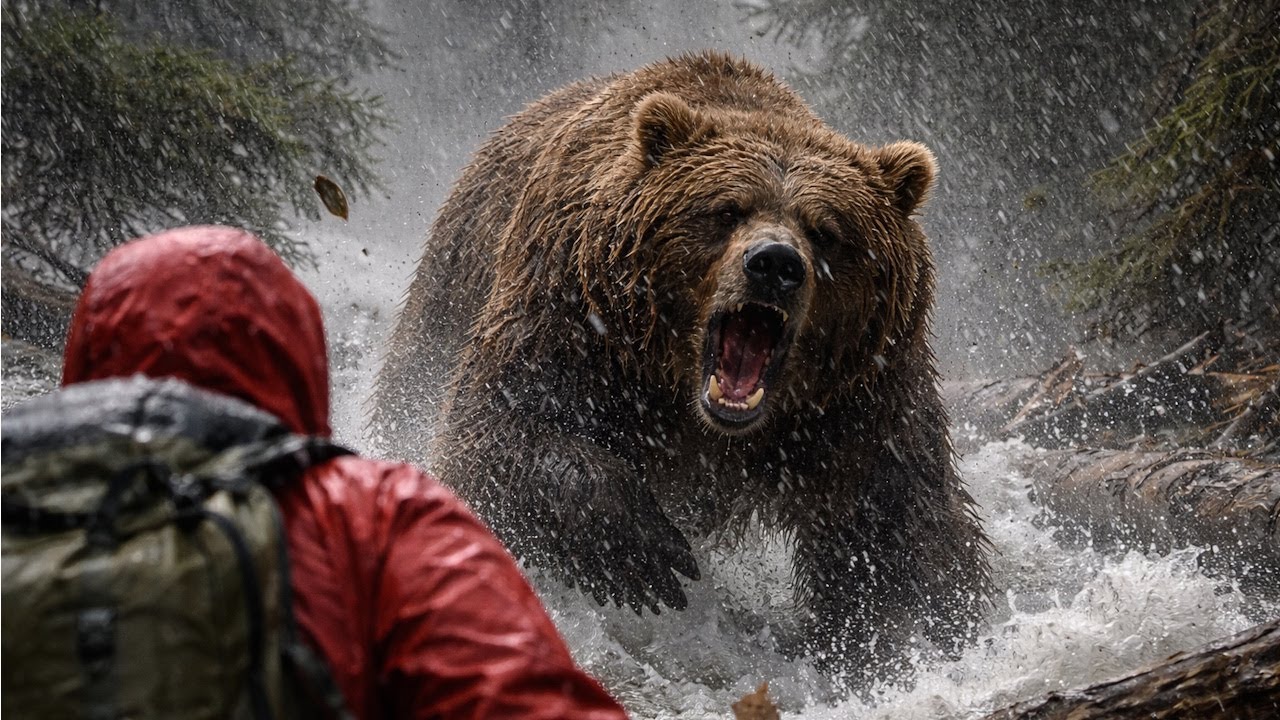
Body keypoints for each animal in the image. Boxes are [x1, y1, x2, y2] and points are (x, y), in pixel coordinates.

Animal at [374, 51, 991, 673]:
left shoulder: (861, 397)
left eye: (826, 230)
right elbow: (498, 429)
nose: (775, 263)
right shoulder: (574, 320)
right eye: (726, 210)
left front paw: (917, 636)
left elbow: (899, 527)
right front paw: (643, 552)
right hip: (450, 291)